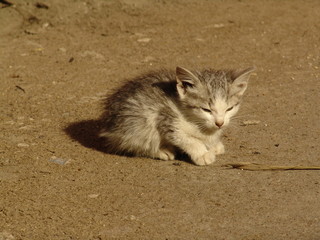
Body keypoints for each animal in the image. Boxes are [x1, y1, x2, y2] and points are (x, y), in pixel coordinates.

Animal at [100, 66, 255, 166]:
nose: (219, 123)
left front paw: (214, 144)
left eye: (229, 108)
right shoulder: (164, 117)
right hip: (136, 123)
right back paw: (161, 151)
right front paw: (202, 153)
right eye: (206, 110)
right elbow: (187, 139)